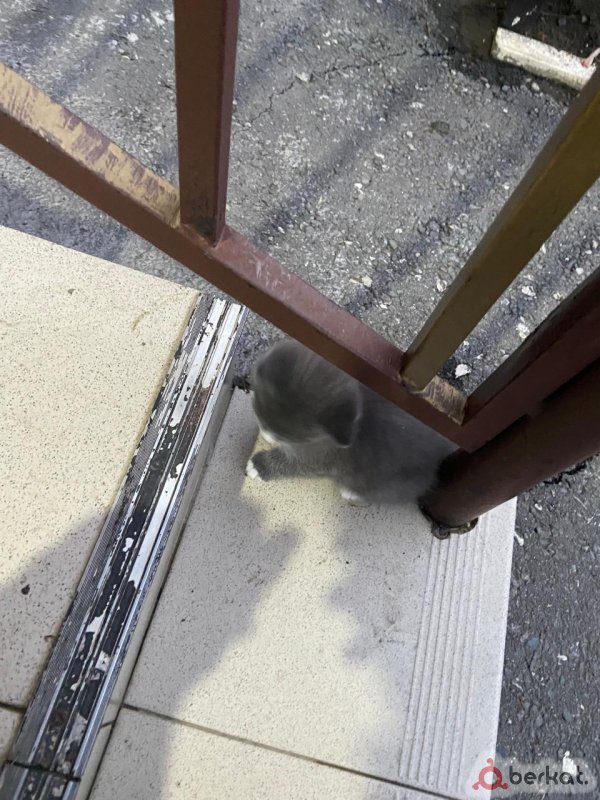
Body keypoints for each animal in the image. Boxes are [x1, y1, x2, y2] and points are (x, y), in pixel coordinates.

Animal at [245, 339, 456, 505]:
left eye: (291, 435)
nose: (266, 433)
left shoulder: (320, 456)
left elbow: (294, 464)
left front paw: (260, 466)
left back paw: (352, 493)